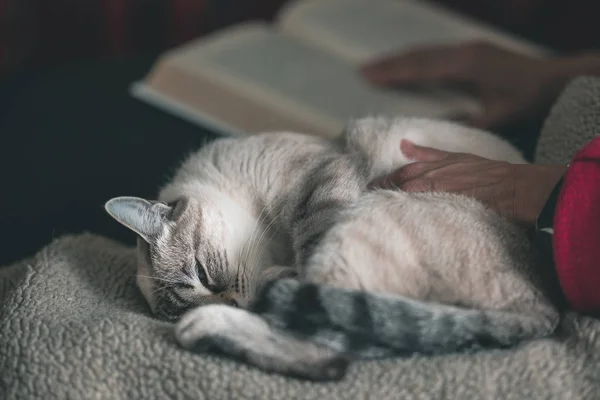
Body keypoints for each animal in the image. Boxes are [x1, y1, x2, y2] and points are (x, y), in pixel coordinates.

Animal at [105, 116, 560, 382]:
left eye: (203, 273)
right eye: (199, 285)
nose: (235, 303)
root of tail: (543, 304)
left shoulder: (322, 183)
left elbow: (308, 242)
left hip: (362, 224)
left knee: (331, 348)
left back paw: (204, 328)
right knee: (344, 348)